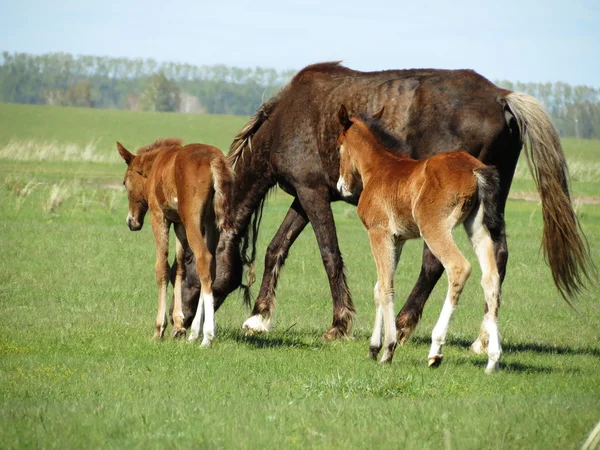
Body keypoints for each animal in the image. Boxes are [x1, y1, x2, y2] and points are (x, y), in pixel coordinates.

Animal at [116, 139, 233, 346]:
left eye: (124, 182)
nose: (131, 222)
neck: (156, 166)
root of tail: (214, 160)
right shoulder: (178, 224)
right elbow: (179, 268)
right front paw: (179, 326)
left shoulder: (159, 216)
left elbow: (162, 268)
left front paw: (159, 329)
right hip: (211, 223)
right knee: (210, 267)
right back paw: (195, 332)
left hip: (192, 221)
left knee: (203, 259)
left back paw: (207, 336)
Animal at [179, 61, 596, 346]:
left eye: (187, 264)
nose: (180, 323)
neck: (287, 119)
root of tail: (501, 97)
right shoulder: (304, 195)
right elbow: (275, 248)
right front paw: (259, 318)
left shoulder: (312, 194)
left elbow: (329, 254)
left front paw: (338, 324)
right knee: (498, 254)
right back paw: (482, 337)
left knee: (435, 261)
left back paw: (407, 324)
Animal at [338, 107, 506, 374]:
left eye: (338, 146)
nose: (341, 187)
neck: (377, 170)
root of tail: (475, 170)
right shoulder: (397, 240)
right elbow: (378, 286)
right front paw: (373, 347)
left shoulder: (378, 233)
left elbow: (386, 287)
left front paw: (388, 350)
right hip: (477, 227)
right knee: (491, 277)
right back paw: (493, 359)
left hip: (434, 228)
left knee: (458, 268)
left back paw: (435, 350)